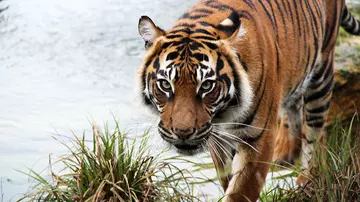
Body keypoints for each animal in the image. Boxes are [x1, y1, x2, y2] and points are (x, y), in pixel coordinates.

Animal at [136, 0, 358, 201]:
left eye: (206, 86)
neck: (224, 116)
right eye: (165, 84)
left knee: (314, 132)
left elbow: (241, 190)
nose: (182, 133)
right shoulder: (218, 140)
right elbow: (227, 179)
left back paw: (307, 180)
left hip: (321, 74)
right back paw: (284, 156)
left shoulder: (257, 138)